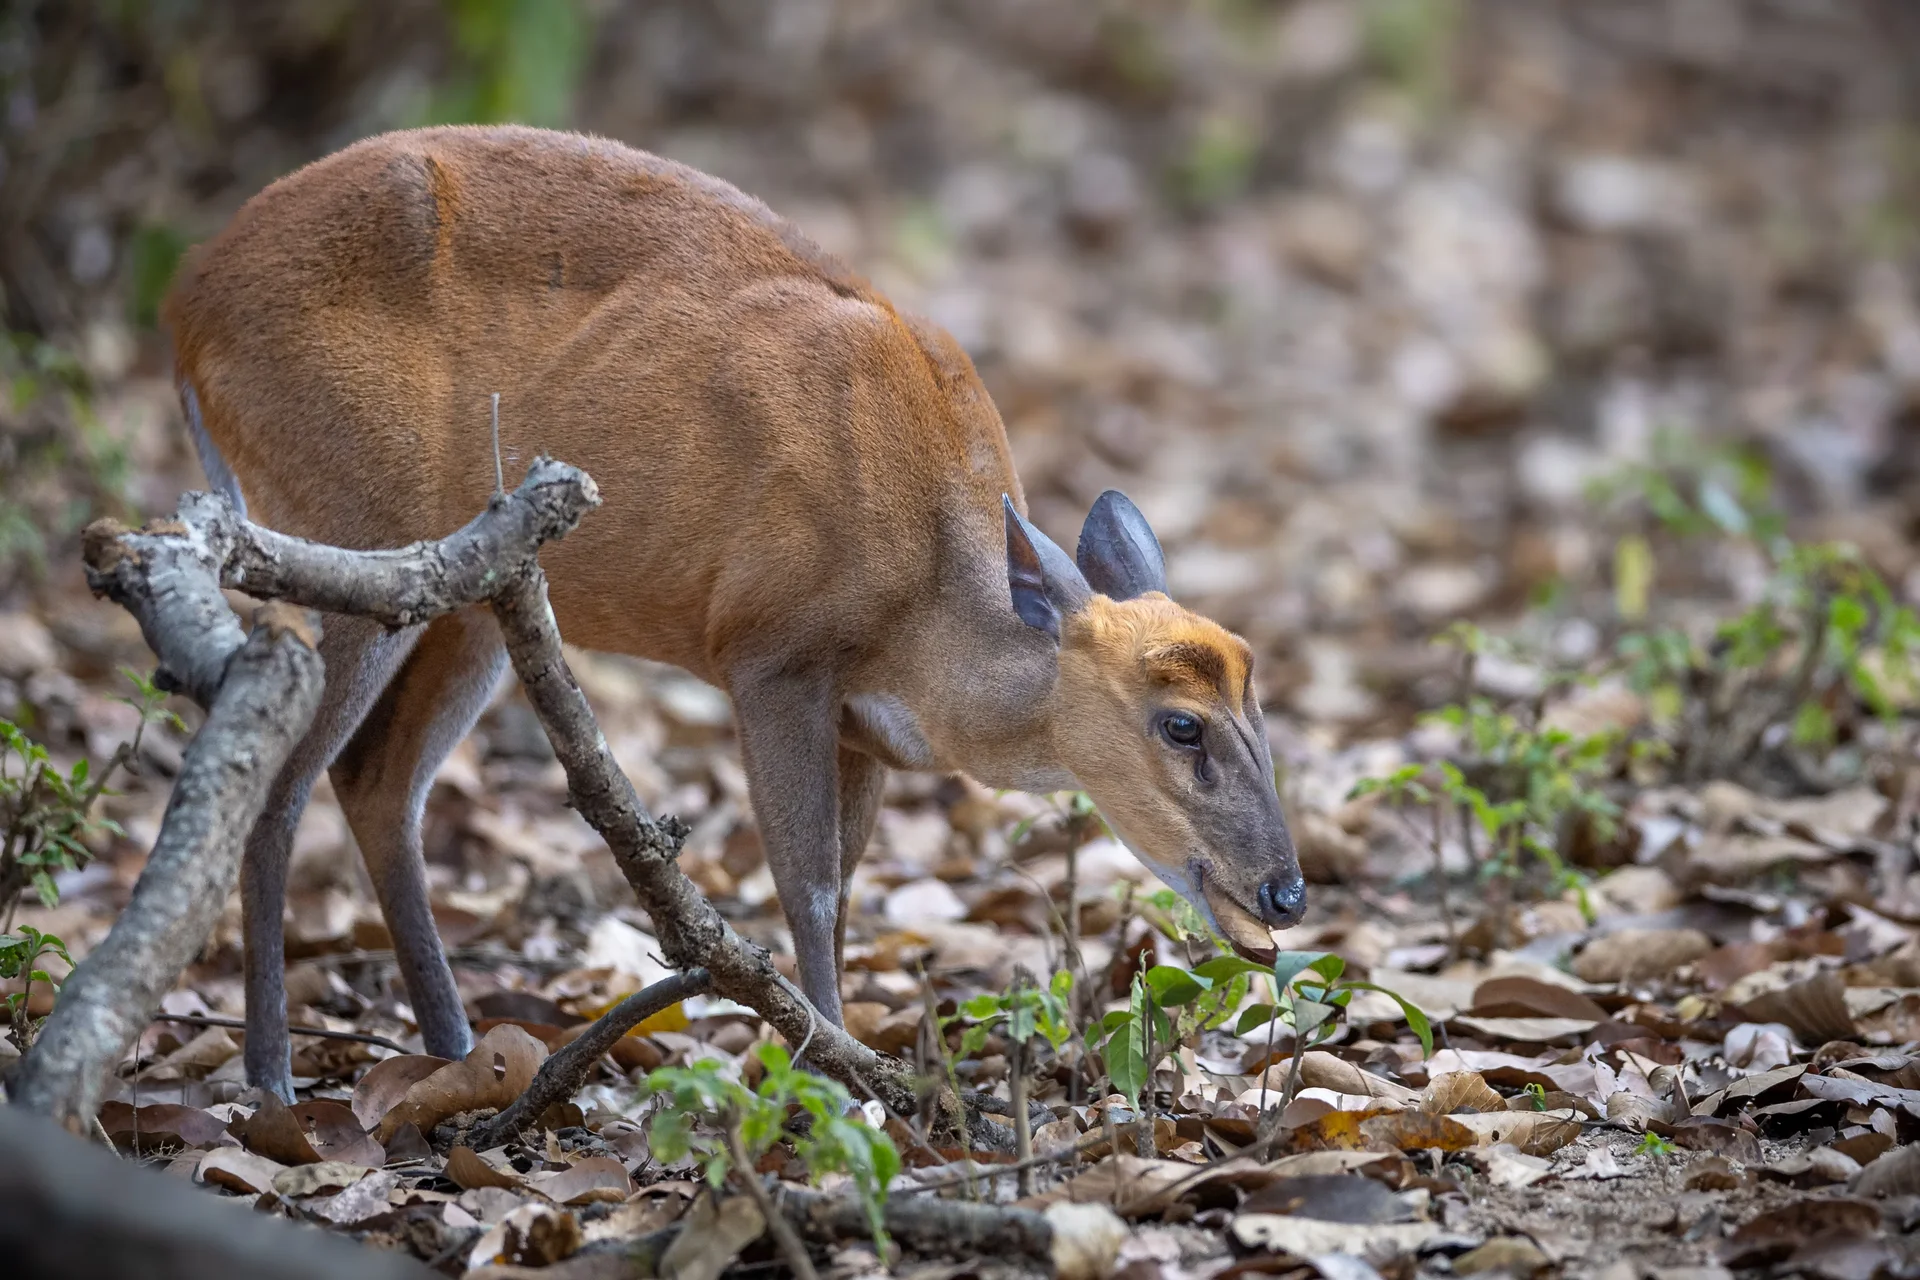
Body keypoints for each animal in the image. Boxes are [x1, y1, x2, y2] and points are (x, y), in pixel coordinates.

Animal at [162, 124, 1306, 1100]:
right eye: (1180, 724)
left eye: (1263, 708)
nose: (1287, 893)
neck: (925, 604)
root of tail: (186, 306)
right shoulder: (771, 652)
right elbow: (806, 886)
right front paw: (842, 1080)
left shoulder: (861, 726)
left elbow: (844, 883)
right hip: (346, 514)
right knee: (275, 780)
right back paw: (272, 1076)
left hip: (478, 594)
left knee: (376, 783)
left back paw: (456, 1056)